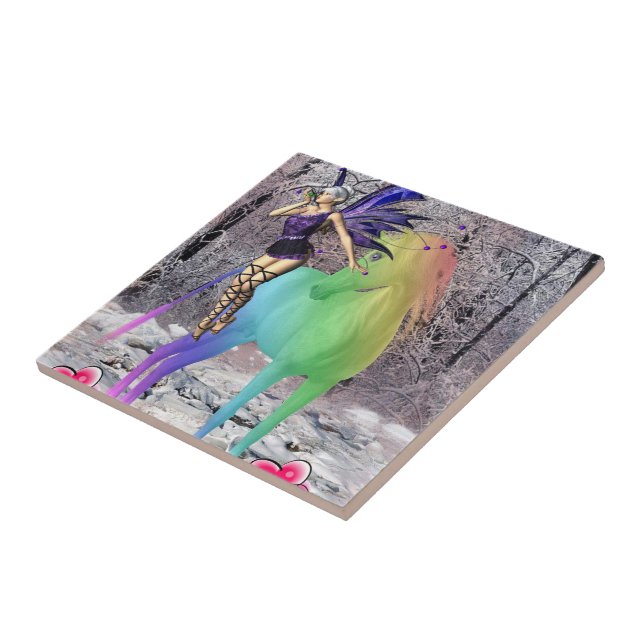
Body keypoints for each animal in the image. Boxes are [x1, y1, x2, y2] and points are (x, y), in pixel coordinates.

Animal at [106, 230, 457, 456]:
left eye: (374, 255)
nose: (320, 290)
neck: (351, 325)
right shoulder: (280, 367)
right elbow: (225, 412)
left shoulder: (316, 385)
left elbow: (260, 431)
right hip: (230, 330)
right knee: (169, 356)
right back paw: (119, 393)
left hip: (233, 336)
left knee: (169, 359)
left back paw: (121, 395)